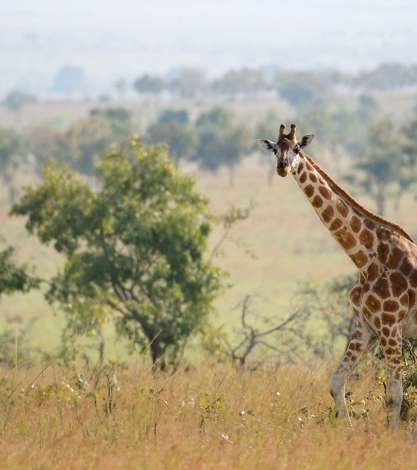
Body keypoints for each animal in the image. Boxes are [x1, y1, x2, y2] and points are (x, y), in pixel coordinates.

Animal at [258, 123, 416, 428]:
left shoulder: (391, 325)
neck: (366, 258)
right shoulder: (366, 325)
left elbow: (394, 394)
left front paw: (392, 436)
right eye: (274, 149)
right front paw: (348, 430)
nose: (282, 167)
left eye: (297, 147)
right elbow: (336, 382)